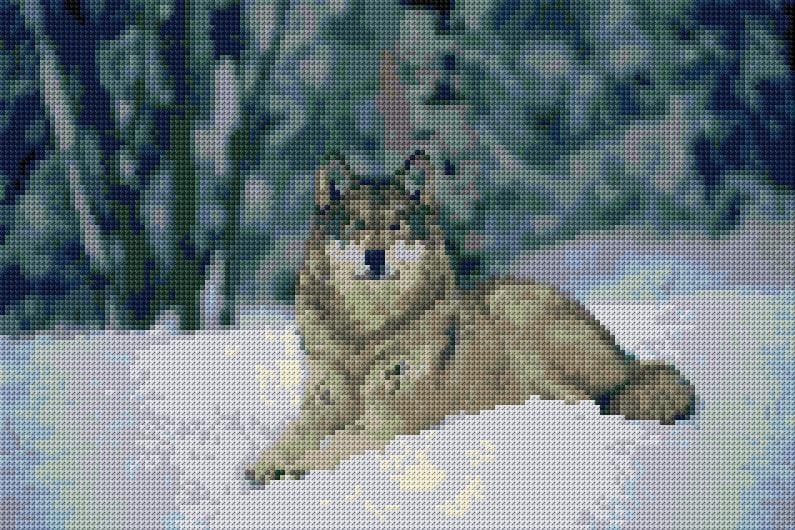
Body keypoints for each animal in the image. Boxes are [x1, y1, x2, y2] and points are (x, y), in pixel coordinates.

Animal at [246, 150, 696, 484]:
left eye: (396, 226)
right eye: (356, 226)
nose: (376, 257)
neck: (366, 333)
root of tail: (625, 357)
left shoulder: (399, 410)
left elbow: (341, 440)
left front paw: (300, 467)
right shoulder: (323, 402)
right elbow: (293, 433)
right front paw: (266, 461)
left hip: (516, 316)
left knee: (588, 399)